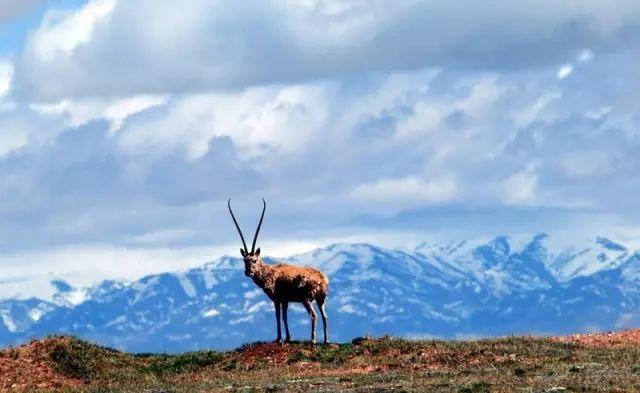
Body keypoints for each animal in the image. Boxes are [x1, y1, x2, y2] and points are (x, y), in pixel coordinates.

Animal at [228, 199, 330, 344]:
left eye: (254, 260)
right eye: (244, 260)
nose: (248, 272)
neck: (269, 272)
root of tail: (322, 279)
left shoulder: (276, 299)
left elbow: (277, 316)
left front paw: (278, 339)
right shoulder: (285, 301)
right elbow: (285, 316)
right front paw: (288, 338)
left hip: (306, 299)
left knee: (314, 315)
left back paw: (313, 340)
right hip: (321, 299)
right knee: (324, 316)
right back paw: (326, 340)